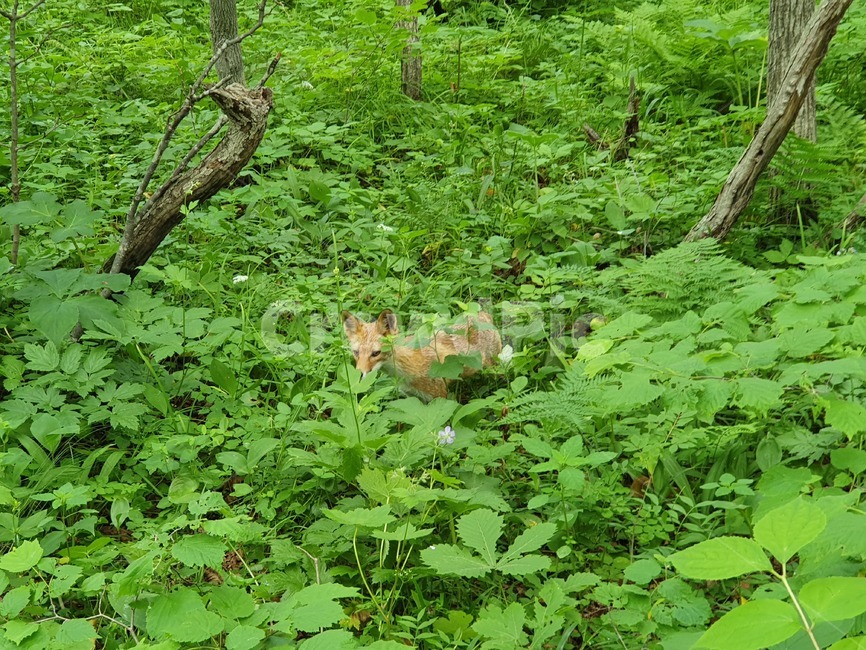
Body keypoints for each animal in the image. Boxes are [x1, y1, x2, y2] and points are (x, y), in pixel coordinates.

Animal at [340, 309, 502, 401]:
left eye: (376, 353)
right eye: (356, 352)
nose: (358, 375)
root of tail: (483, 315)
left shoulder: (439, 396)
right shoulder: (413, 397)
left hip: (494, 369)